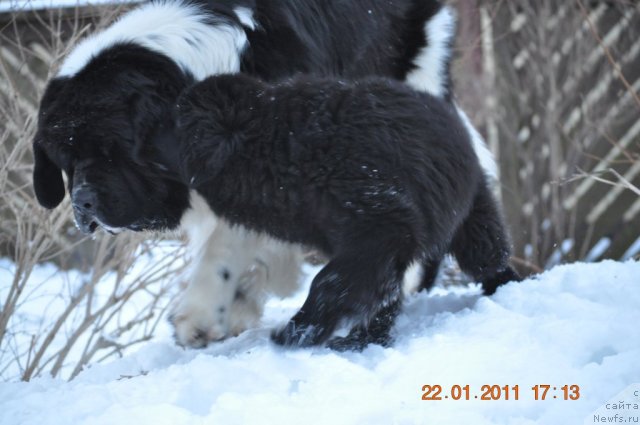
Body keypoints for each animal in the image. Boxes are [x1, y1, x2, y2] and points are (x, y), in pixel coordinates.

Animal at [174, 75, 520, 348]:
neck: (280, 147)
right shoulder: (368, 243)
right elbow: (377, 290)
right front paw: (359, 338)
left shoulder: (382, 223)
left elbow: (331, 281)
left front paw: (298, 332)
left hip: (469, 214)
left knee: (487, 257)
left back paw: (508, 288)